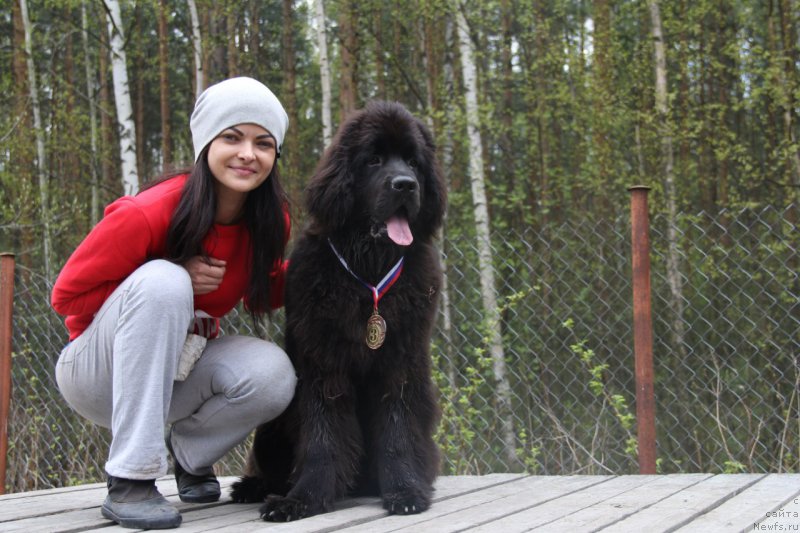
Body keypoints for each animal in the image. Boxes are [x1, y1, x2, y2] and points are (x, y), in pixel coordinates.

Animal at [231, 100, 446, 520]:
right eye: (374, 159)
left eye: (413, 162)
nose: (406, 185)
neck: (369, 269)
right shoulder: (322, 363)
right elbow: (322, 434)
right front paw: (303, 498)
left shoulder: (401, 362)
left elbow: (397, 428)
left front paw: (405, 490)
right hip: (272, 426)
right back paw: (252, 487)